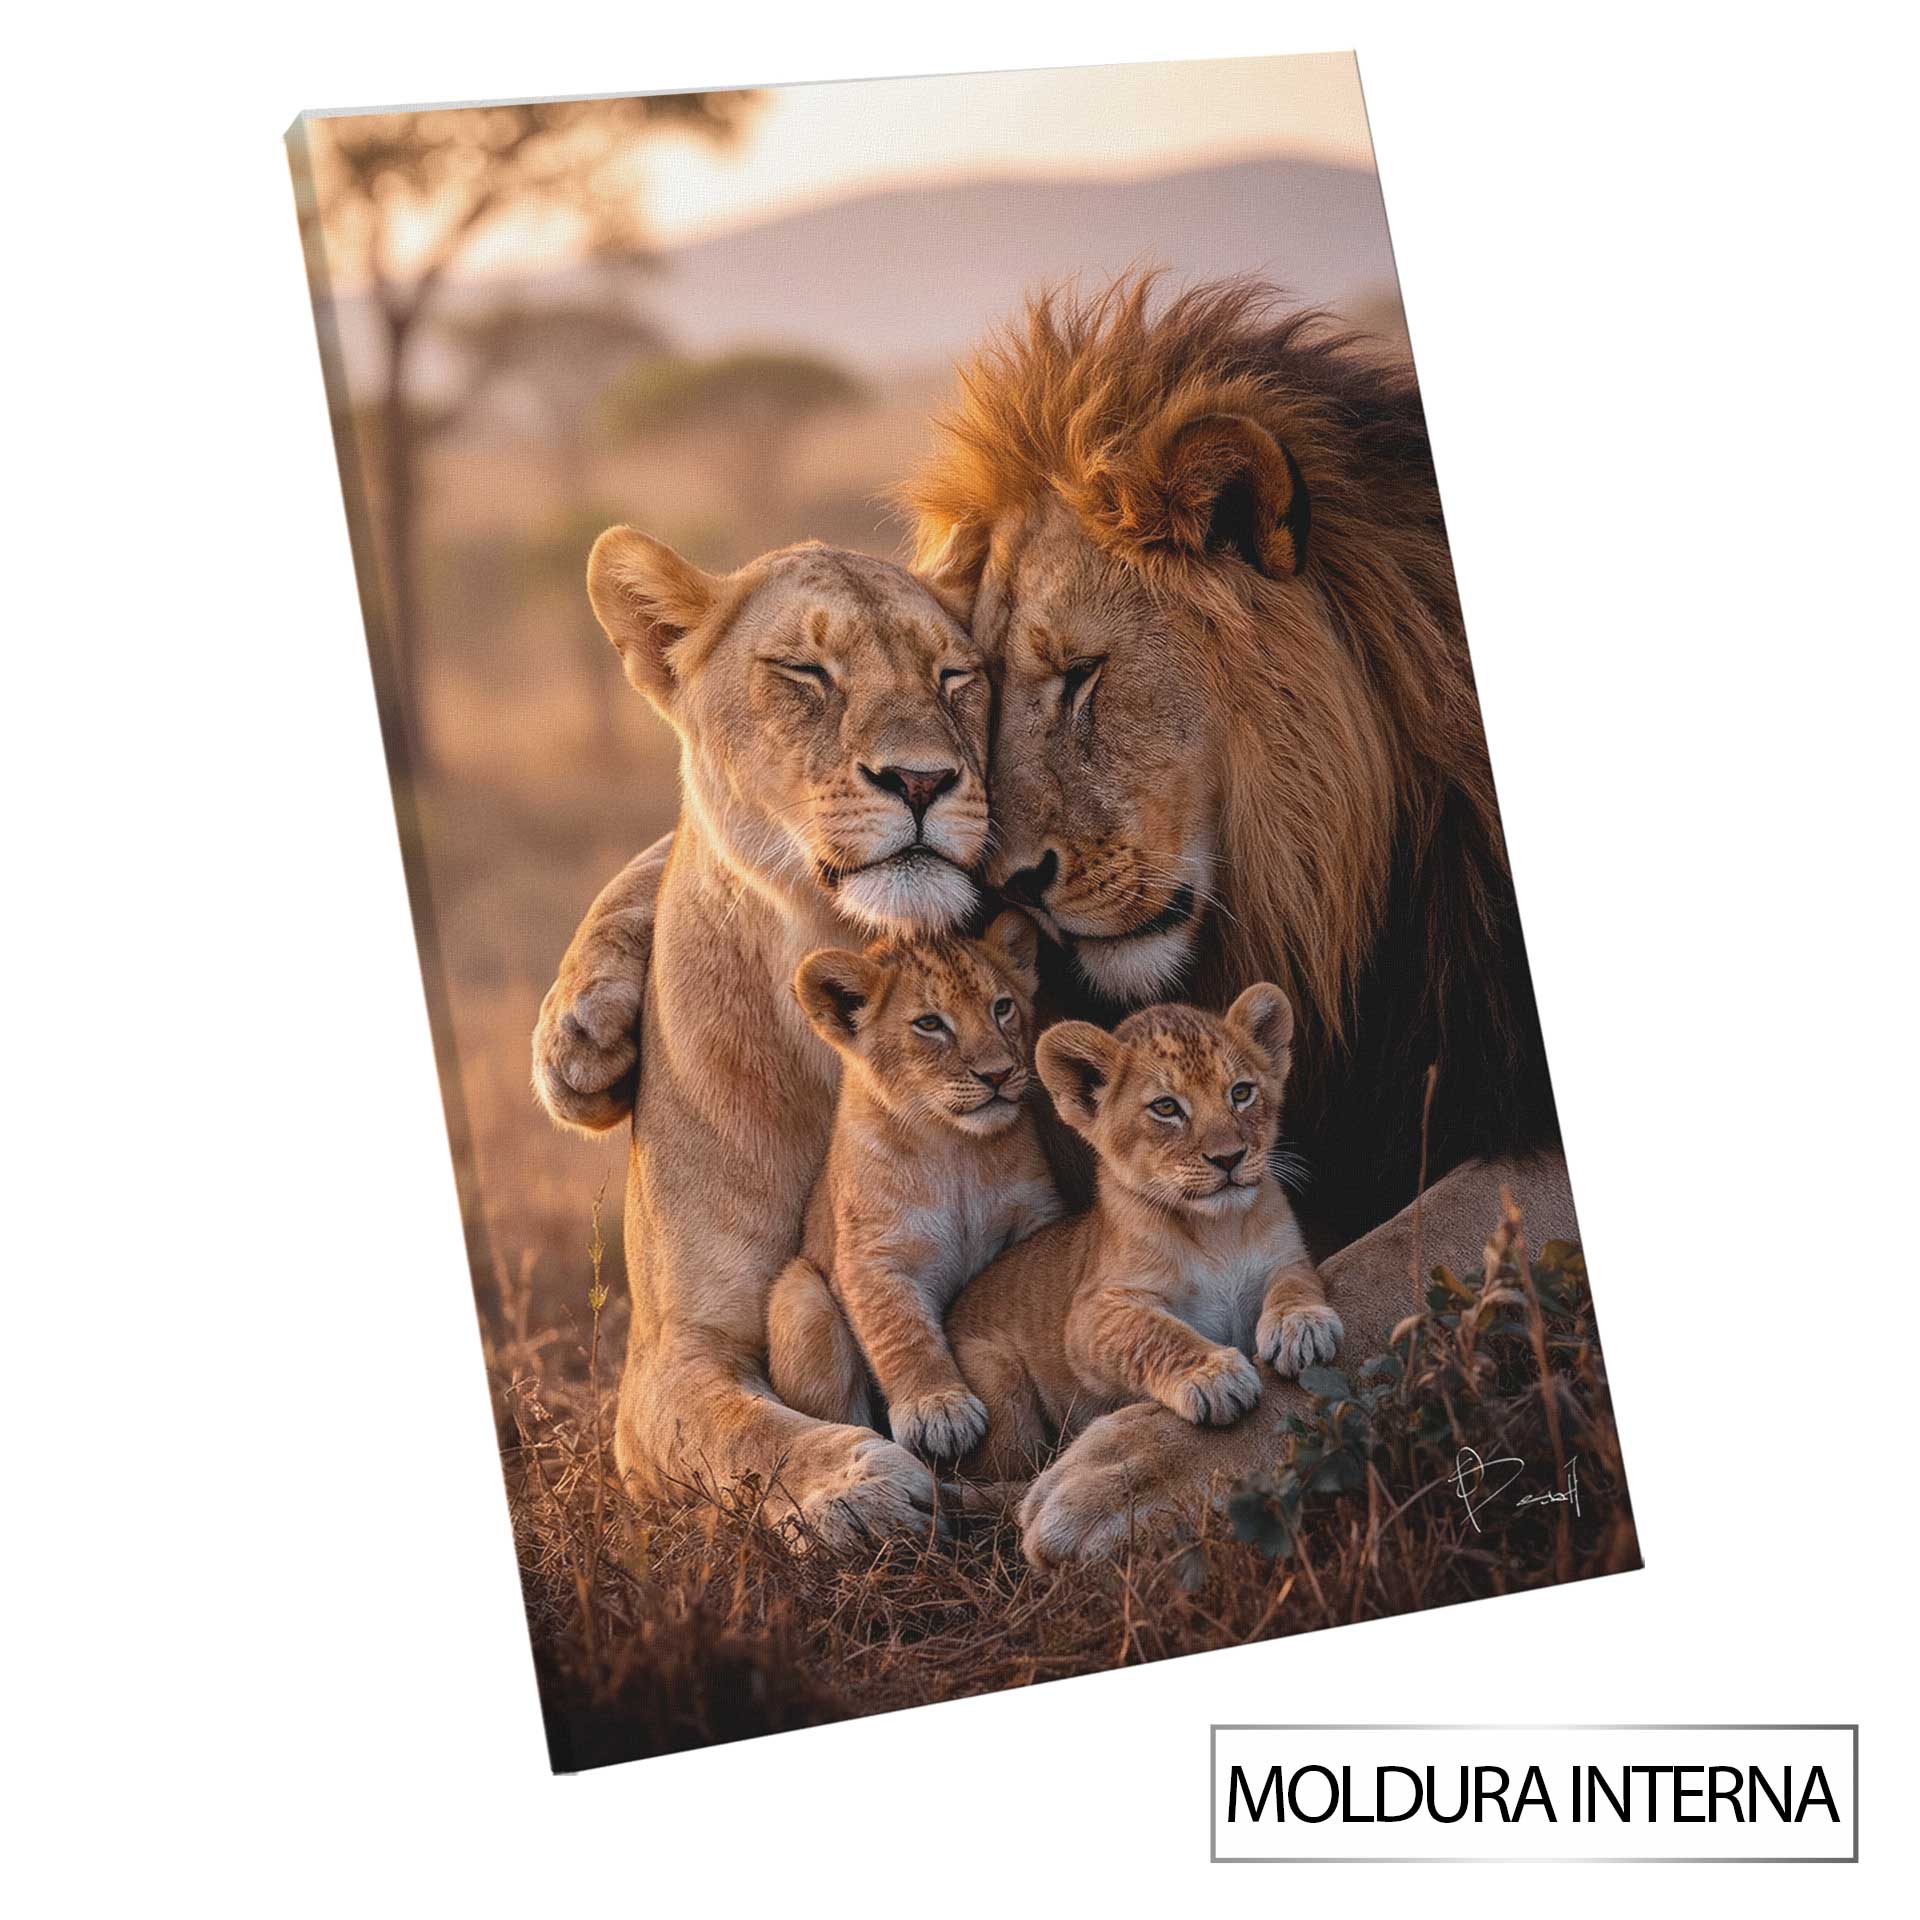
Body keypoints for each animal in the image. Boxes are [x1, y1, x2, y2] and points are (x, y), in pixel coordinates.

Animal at [577, 525, 998, 1548]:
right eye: (806, 673)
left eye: (956, 675)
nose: (923, 778)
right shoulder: (669, 1356)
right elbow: (750, 1434)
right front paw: (859, 1482)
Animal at [766, 911, 1061, 1460]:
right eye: (930, 1024)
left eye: (1002, 1007)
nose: (998, 1074)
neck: (955, 1149)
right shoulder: (872, 1256)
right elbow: (901, 1331)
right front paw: (938, 1411)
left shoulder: (1036, 1214)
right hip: (800, 1294)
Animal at [948, 983, 1339, 1480]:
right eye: (1167, 1107)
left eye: (1241, 1093)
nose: (1229, 1158)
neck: (1218, 1231)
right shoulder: (1092, 1313)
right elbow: (1155, 1333)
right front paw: (1213, 1376)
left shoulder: (1286, 1256)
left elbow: (1295, 1282)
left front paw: (1302, 1327)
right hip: (1000, 1385)